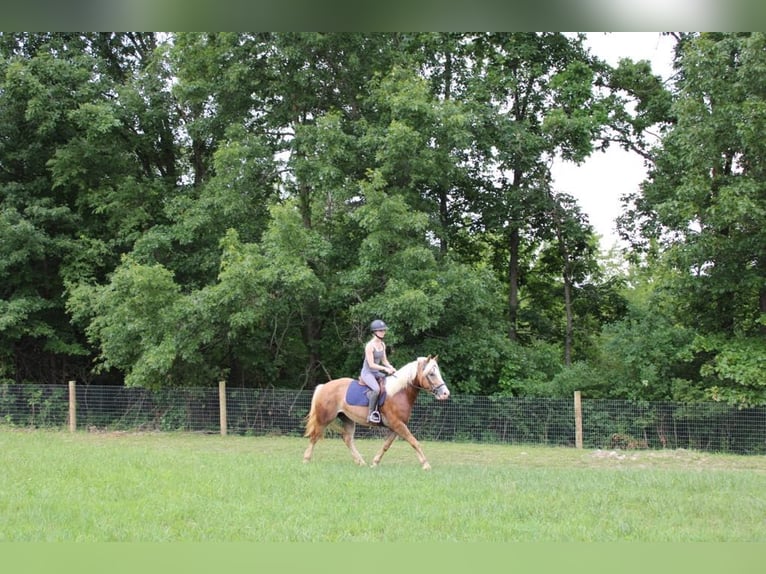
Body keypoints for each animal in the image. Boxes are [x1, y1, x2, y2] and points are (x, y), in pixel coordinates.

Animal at [304, 356, 450, 472]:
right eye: (431, 374)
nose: (445, 393)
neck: (398, 392)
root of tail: (324, 386)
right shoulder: (398, 425)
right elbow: (414, 442)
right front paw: (426, 465)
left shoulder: (396, 427)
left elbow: (386, 445)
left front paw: (375, 462)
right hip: (324, 419)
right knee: (314, 436)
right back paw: (306, 459)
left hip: (348, 419)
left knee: (347, 439)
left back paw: (360, 462)